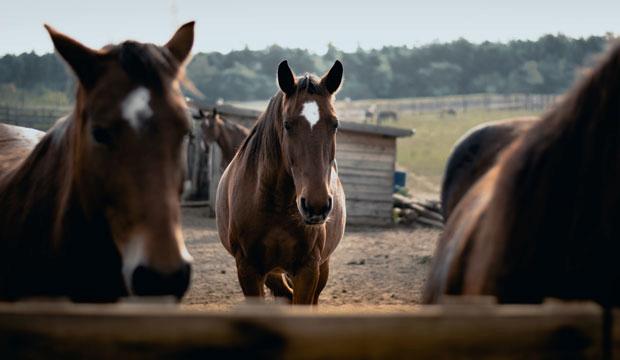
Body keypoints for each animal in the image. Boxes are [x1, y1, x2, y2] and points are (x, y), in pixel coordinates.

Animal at [217, 60, 344, 306]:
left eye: (334, 124)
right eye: (287, 124)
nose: (316, 205)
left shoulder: (308, 269)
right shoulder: (248, 269)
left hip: (321, 268)